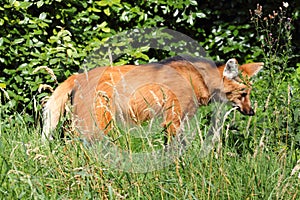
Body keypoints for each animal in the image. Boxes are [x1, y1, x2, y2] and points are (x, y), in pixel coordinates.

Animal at [42, 55, 262, 141]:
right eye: (243, 93)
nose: (252, 112)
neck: (199, 80)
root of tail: (77, 76)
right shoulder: (172, 120)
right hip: (100, 120)